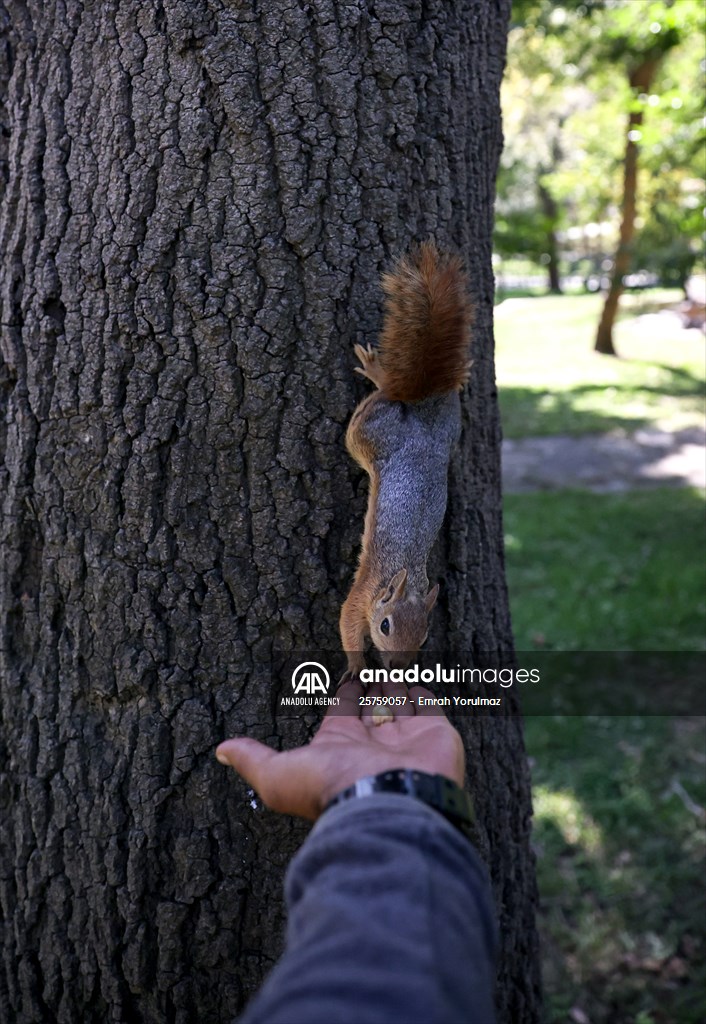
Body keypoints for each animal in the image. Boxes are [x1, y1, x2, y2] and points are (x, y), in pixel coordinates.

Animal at [339, 240, 473, 681]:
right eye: (385, 626)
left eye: (425, 634)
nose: (399, 666)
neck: (407, 579)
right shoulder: (362, 593)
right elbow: (346, 623)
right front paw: (356, 666)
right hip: (367, 434)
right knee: (381, 398)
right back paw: (380, 374)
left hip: (448, 427)